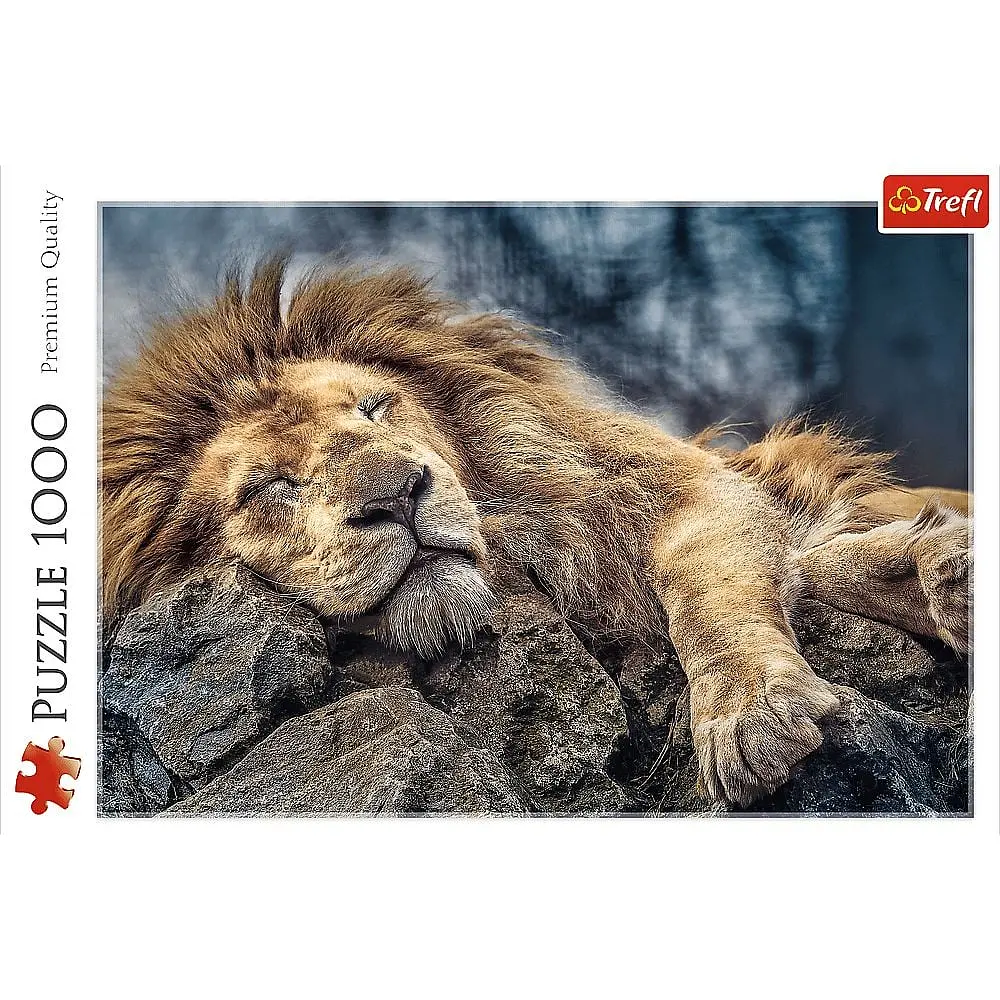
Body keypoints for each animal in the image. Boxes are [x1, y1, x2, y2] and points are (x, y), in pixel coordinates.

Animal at [101, 257, 972, 806]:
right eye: (269, 488)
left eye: (375, 408)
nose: (401, 494)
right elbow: (815, 563)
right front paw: (932, 569)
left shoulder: (680, 488)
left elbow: (710, 592)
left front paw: (751, 711)